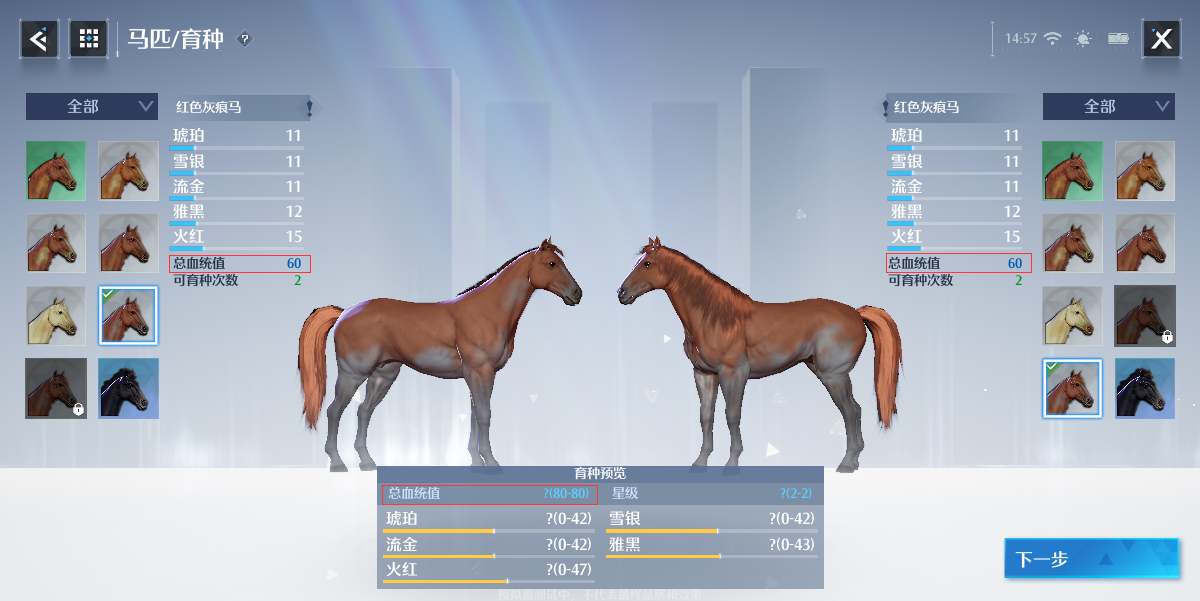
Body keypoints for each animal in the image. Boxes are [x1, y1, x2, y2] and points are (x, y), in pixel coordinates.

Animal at [298, 237, 582, 472]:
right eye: (552, 263)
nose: (577, 293)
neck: (487, 312)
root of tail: (345, 312)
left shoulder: (479, 375)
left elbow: (474, 416)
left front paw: (476, 461)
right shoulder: (480, 372)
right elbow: (484, 415)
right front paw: (491, 463)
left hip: (383, 374)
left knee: (363, 411)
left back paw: (367, 462)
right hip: (353, 374)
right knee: (334, 411)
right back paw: (337, 463)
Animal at [617, 237, 902, 473]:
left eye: (648, 263)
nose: (622, 293)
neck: (717, 318)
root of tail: (856, 312)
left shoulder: (733, 374)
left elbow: (732, 415)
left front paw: (732, 463)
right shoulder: (704, 374)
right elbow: (706, 416)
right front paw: (700, 462)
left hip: (834, 375)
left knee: (850, 412)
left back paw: (847, 463)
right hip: (825, 372)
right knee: (855, 409)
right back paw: (854, 460)